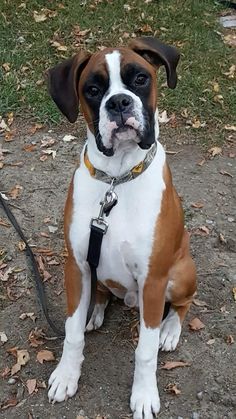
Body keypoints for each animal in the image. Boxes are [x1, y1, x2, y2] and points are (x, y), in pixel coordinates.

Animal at [47, 37, 196, 418]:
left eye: (140, 79)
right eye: (93, 89)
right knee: (100, 294)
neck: (117, 179)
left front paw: (143, 395)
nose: (118, 102)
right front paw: (67, 375)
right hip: (96, 272)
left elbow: (145, 351)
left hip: (180, 275)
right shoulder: (77, 265)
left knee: (184, 303)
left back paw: (170, 330)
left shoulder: (153, 280)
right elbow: (71, 333)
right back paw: (95, 311)